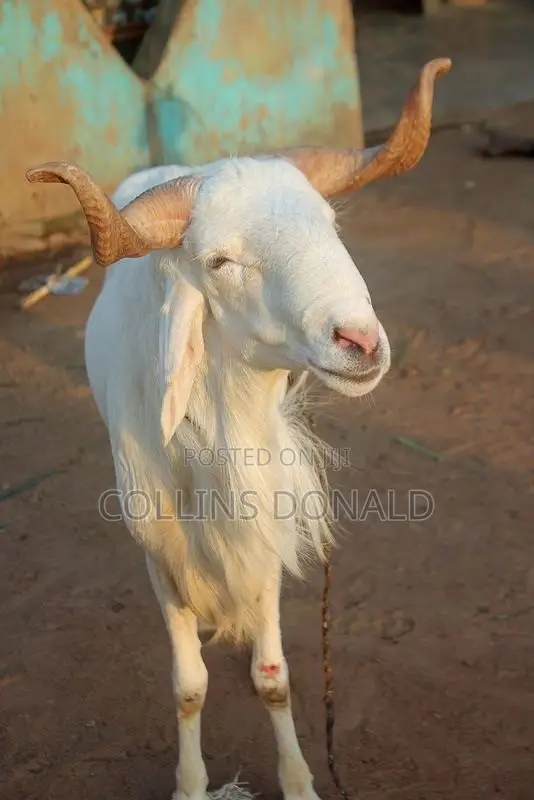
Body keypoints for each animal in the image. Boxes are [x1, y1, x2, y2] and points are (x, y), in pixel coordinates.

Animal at [27, 58, 450, 800]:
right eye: (220, 262)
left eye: (330, 223)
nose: (360, 342)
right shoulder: (157, 553)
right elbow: (189, 686)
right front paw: (192, 783)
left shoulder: (264, 536)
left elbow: (272, 678)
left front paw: (302, 781)